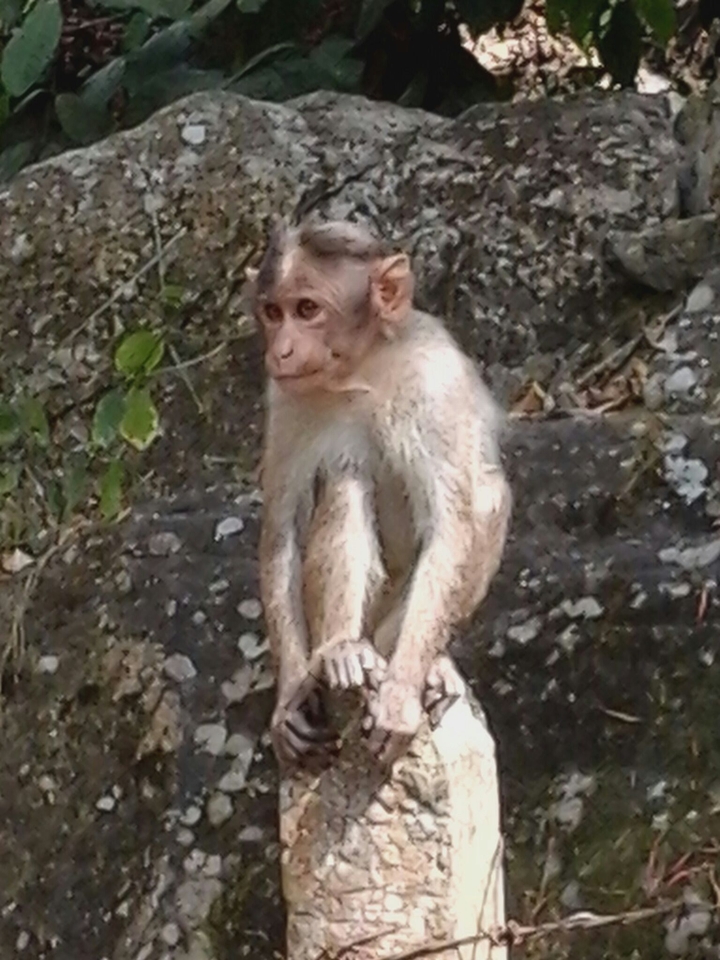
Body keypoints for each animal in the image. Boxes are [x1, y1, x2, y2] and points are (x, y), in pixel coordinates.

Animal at [251, 218, 511, 769]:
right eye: (273, 312)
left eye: (307, 309)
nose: (280, 349)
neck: (362, 371)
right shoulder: (284, 398)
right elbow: (282, 533)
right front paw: (289, 700)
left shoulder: (436, 383)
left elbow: (452, 527)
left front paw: (400, 695)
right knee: (346, 475)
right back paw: (342, 652)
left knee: (489, 495)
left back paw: (428, 666)